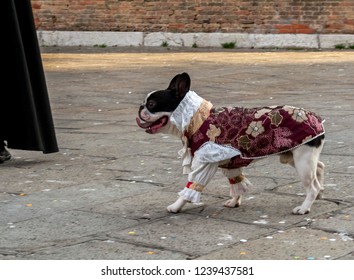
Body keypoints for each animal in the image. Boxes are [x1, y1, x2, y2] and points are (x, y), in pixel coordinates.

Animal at [136, 71, 326, 214]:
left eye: (151, 104)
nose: (140, 108)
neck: (195, 118)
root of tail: (316, 119)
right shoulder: (230, 163)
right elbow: (236, 182)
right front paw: (235, 201)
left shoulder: (205, 163)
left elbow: (192, 186)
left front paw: (176, 206)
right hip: (295, 156)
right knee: (319, 167)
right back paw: (320, 192)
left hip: (302, 162)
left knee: (311, 186)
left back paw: (304, 207)